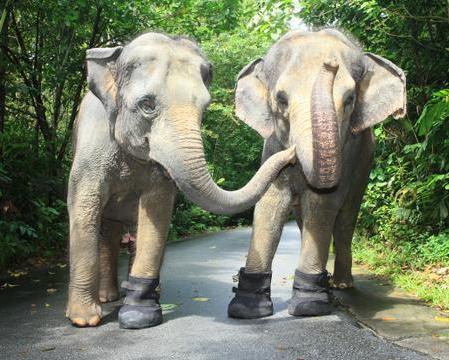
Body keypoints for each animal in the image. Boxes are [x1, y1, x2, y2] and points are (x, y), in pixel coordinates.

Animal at [66, 31, 296, 330]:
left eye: (204, 108)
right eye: (147, 104)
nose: (293, 152)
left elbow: (156, 210)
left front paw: (139, 315)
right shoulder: (91, 146)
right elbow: (83, 208)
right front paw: (84, 320)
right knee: (107, 229)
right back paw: (107, 298)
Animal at [228, 29, 406, 320]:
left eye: (350, 99)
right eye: (281, 100)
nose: (330, 64)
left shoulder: (350, 152)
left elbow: (323, 203)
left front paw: (308, 305)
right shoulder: (272, 145)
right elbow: (270, 203)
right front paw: (246, 309)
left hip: (364, 165)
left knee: (345, 219)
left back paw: (340, 283)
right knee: (304, 220)